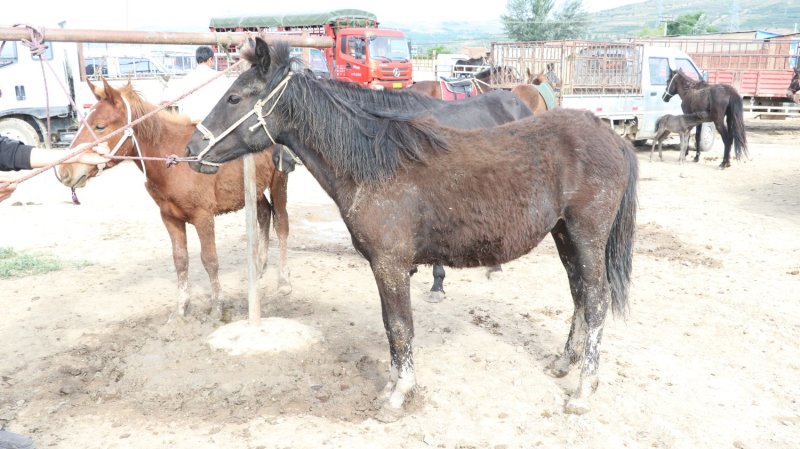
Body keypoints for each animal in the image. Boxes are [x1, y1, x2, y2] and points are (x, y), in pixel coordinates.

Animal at [57, 78, 293, 321]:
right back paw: (259, 267)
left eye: (100, 126)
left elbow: (210, 260)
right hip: (254, 189)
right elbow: (180, 260)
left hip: (278, 181)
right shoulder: (169, 217)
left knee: (281, 224)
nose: (64, 172)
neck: (175, 162)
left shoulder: (203, 216)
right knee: (264, 215)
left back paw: (283, 281)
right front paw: (180, 309)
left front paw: (217, 307)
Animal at [185, 38, 638, 418]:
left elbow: (400, 327)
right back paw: (564, 362)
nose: (192, 150)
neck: (373, 164)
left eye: (234, 97)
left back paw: (584, 390)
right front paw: (391, 386)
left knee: (596, 300)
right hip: (564, 235)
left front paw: (399, 394)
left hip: (586, 235)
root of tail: (612, 137)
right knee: (579, 294)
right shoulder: (386, 267)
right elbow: (392, 327)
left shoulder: (390, 264)